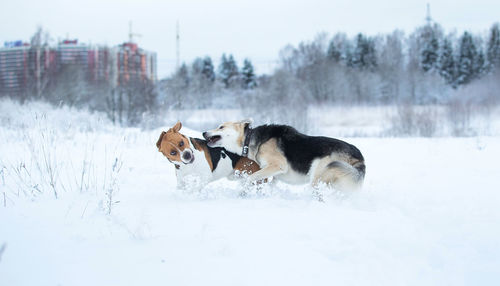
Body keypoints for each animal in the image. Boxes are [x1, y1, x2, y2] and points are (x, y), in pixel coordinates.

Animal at [201, 119, 366, 191]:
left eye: (221, 127)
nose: (203, 132)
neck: (249, 139)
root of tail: (359, 157)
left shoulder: (277, 166)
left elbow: (250, 178)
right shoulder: (274, 174)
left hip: (318, 174)